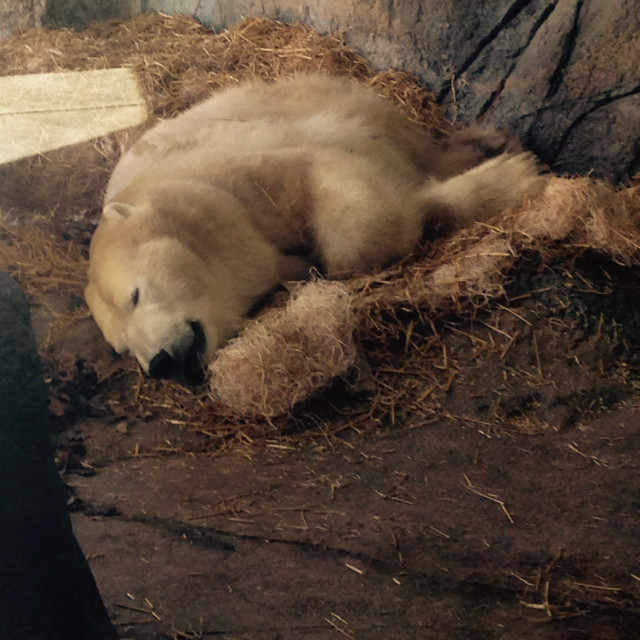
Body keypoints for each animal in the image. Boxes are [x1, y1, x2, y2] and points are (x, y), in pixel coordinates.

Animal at [85, 74, 544, 380]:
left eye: (135, 295)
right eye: (123, 348)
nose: (160, 364)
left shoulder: (240, 176)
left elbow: (343, 195)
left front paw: (509, 177)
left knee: (412, 146)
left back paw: (489, 145)